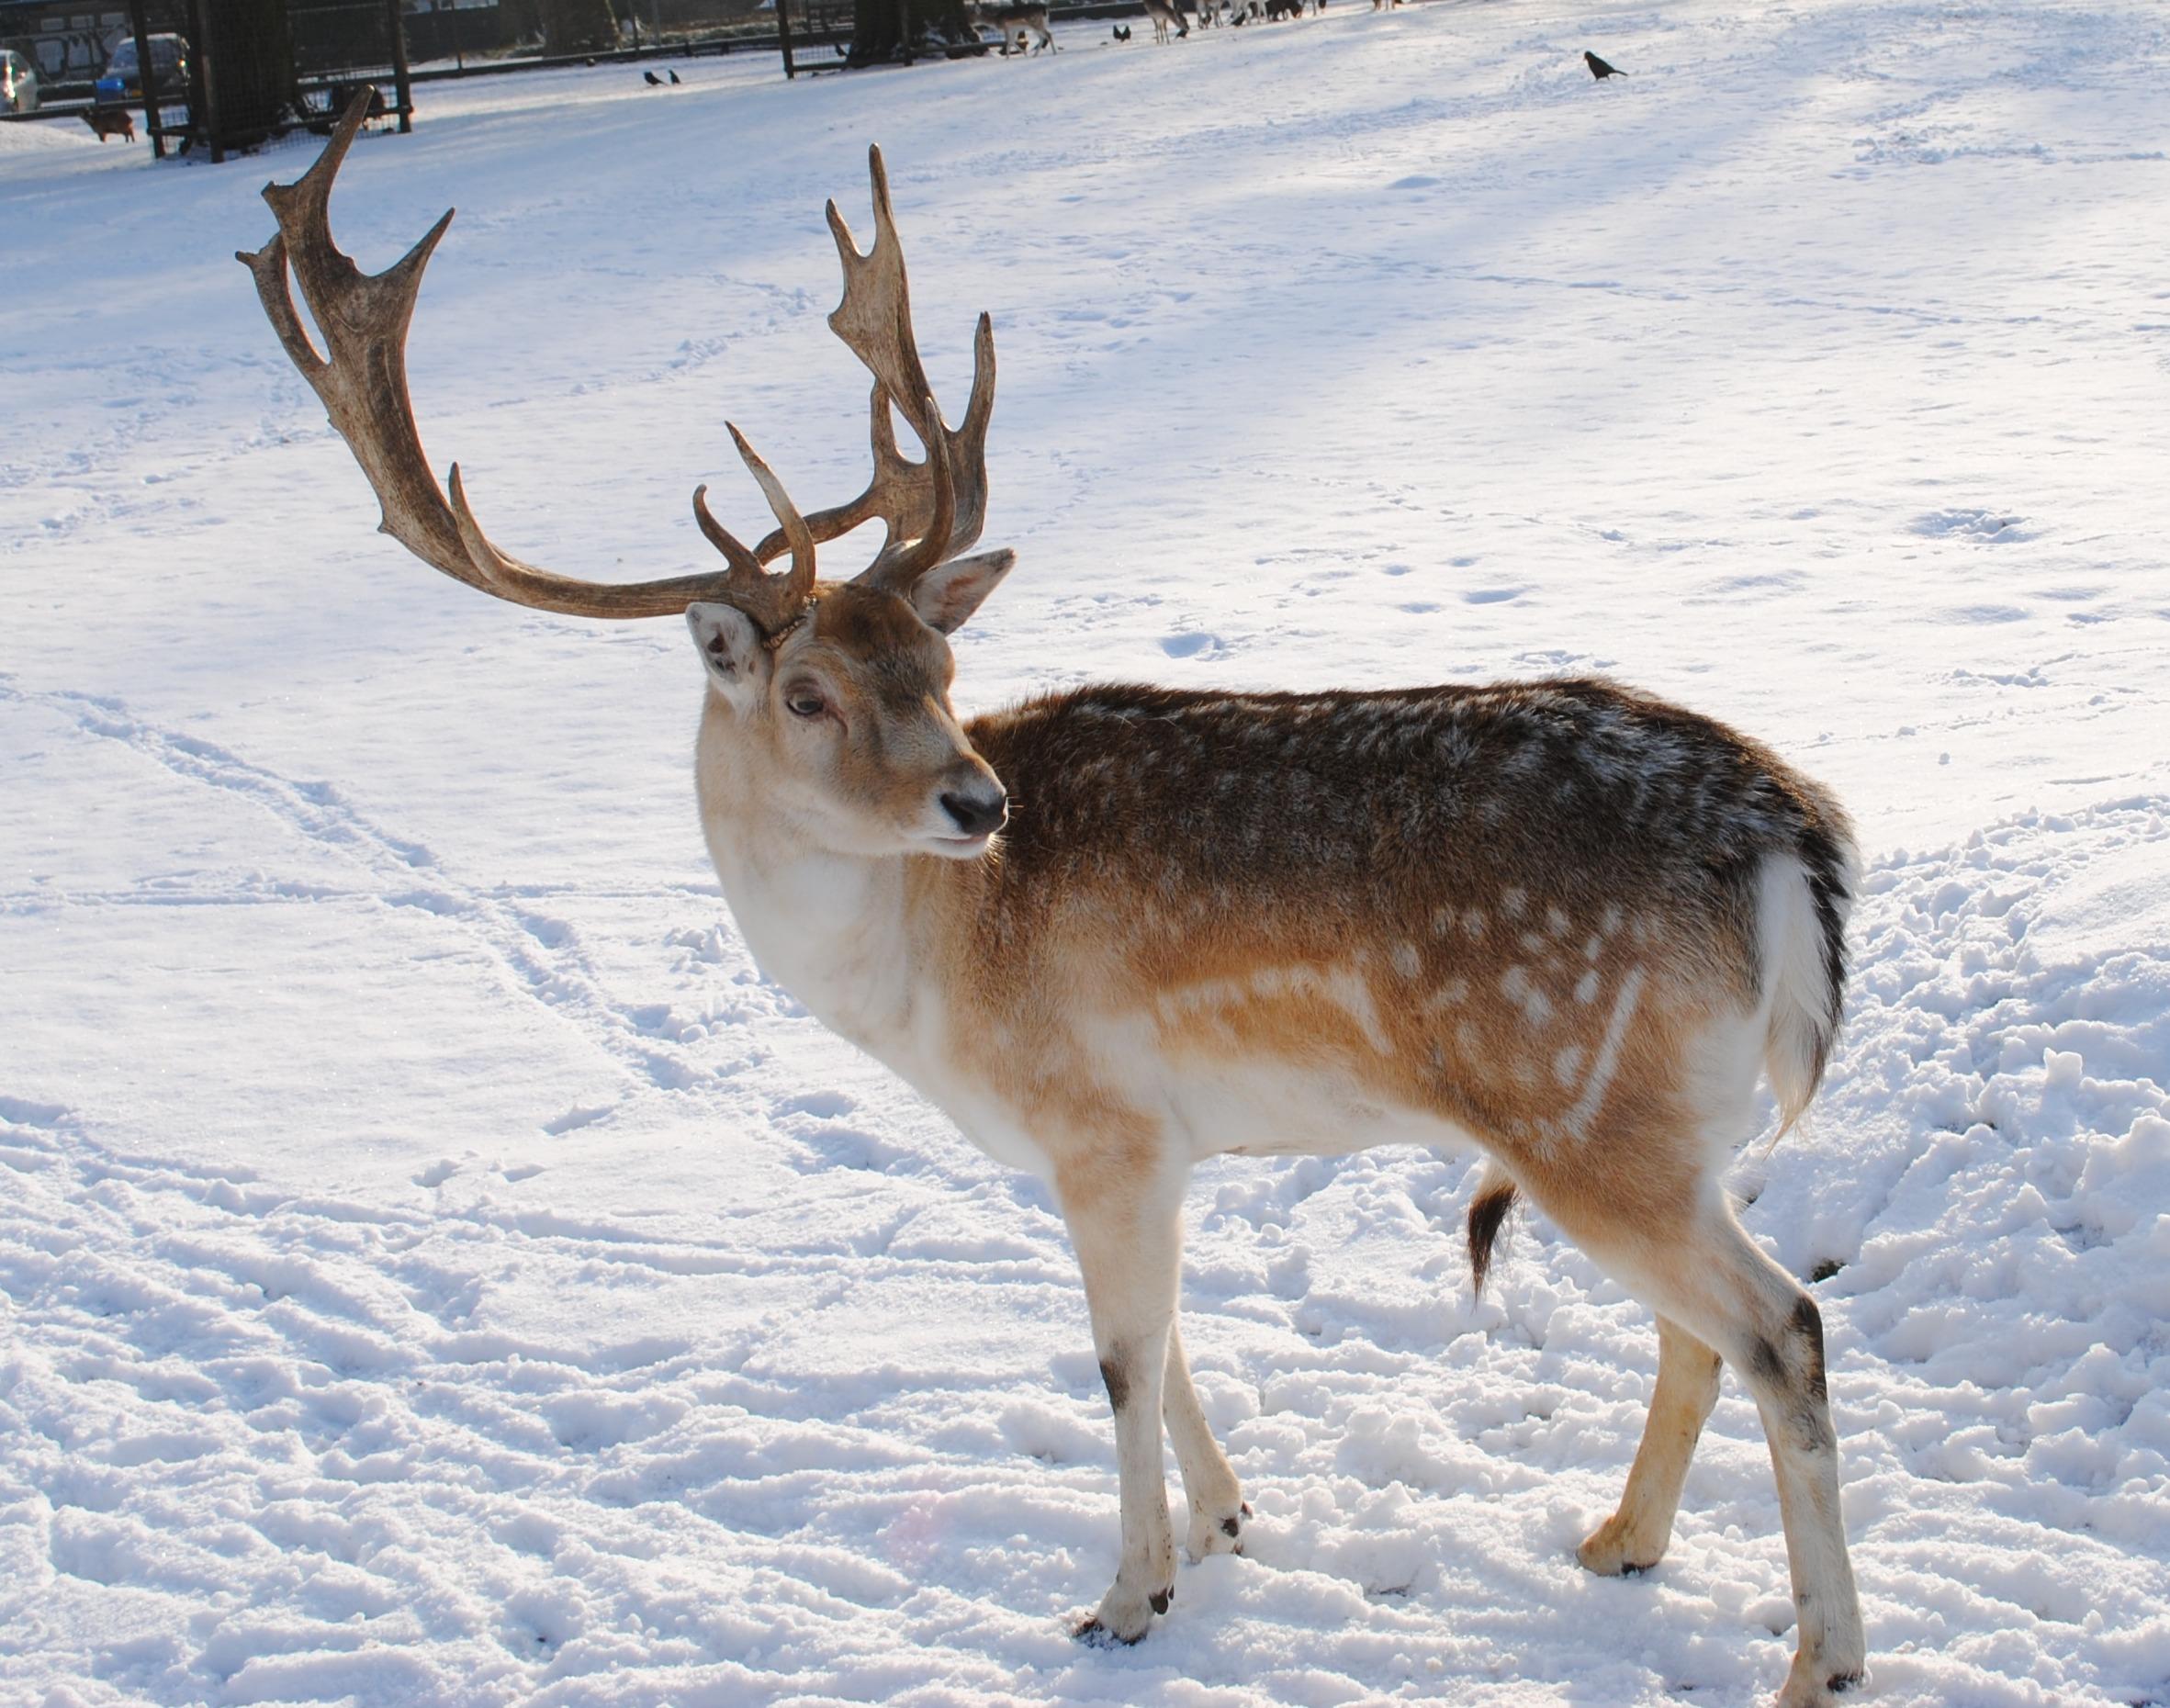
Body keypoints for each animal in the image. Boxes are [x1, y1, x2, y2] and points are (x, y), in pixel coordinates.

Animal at [237, 93, 1866, 1708]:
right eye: (809, 690)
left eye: (940, 666)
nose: (977, 804)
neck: (927, 984)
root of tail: (1786, 834)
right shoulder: (1144, 1144)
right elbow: (1171, 1337)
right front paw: (1222, 1523)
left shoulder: (1094, 1119)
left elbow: (1119, 1360)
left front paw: (1124, 1599)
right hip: (1657, 1124)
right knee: (1699, 1332)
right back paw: (1618, 1541)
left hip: (1575, 1098)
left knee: (1778, 1324)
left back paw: (1819, 1660)